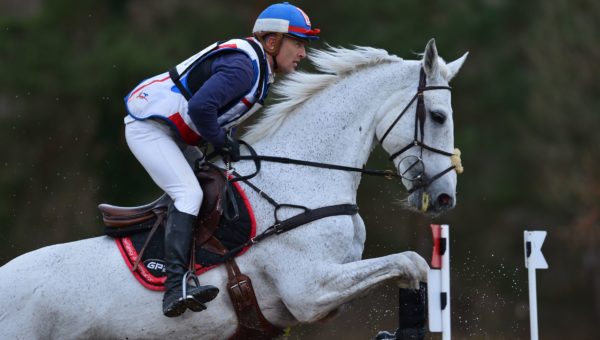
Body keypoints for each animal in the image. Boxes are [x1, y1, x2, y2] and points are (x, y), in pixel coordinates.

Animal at [0, 38, 466, 338]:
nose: (446, 198)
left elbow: (409, 268)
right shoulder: (311, 290)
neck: (304, 174)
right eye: (438, 116)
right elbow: (411, 261)